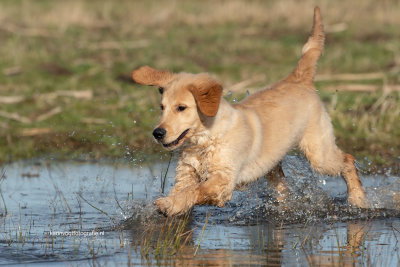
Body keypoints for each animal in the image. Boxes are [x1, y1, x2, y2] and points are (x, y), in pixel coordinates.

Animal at [130, 7, 368, 217]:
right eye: (162, 107)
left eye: (181, 108)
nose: (157, 133)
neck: (206, 140)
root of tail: (298, 79)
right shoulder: (186, 174)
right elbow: (185, 190)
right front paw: (173, 206)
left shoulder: (223, 181)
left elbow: (195, 191)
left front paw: (169, 204)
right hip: (272, 163)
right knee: (283, 187)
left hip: (319, 153)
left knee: (348, 160)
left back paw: (358, 200)